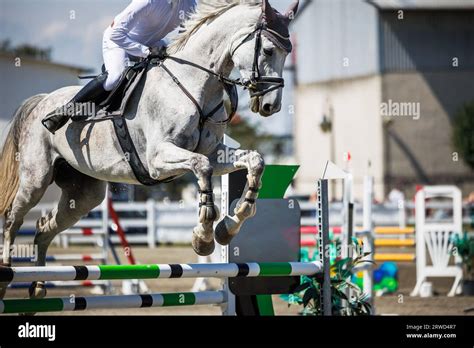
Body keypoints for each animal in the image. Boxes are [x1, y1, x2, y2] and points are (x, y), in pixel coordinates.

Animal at [0, 0, 298, 300]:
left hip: (83, 195)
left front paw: (230, 224)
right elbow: (202, 166)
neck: (193, 83)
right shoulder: (158, 159)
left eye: (288, 52)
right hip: (36, 180)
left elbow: (254, 161)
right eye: (269, 50)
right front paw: (203, 237)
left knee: (44, 228)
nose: (271, 106)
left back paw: (38, 285)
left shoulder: (216, 152)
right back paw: (6, 274)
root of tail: (40, 102)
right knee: (13, 220)